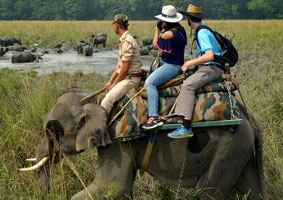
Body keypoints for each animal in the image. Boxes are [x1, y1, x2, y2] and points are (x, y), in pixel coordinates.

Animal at [20, 88, 268, 200]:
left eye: (51, 130)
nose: (50, 193)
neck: (95, 98)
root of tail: (250, 118)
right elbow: (122, 188)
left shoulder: (116, 143)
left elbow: (112, 185)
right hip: (238, 150)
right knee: (251, 188)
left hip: (228, 149)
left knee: (206, 193)